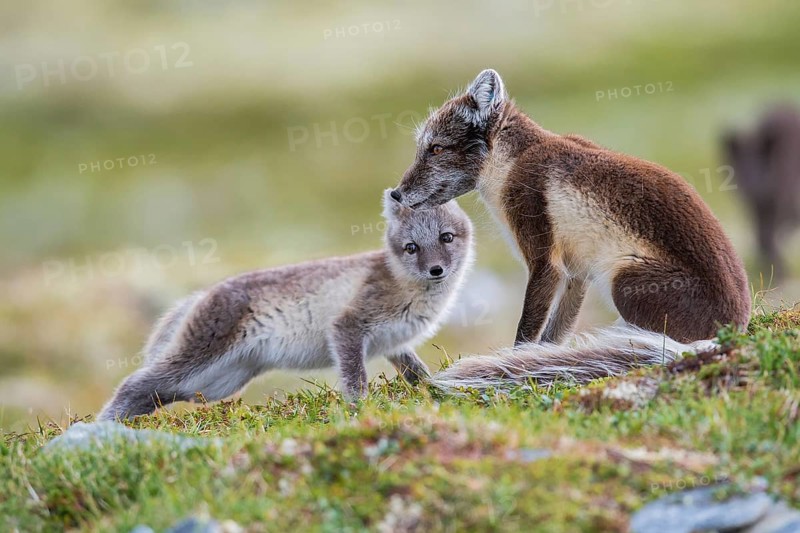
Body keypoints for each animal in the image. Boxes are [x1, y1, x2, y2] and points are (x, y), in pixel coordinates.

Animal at [97, 190, 474, 421]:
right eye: (411, 247)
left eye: (446, 237)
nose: (436, 270)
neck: (405, 285)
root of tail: (201, 294)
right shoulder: (347, 327)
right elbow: (355, 379)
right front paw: (362, 411)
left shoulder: (395, 344)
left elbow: (418, 375)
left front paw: (441, 390)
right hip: (198, 360)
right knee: (134, 383)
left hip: (214, 384)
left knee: (154, 394)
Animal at [391, 69, 751, 390]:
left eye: (436, 148)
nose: (395, 193)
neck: (512, 162)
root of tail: (730, 331)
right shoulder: (575, 273)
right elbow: (553, 336)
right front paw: (537, 362)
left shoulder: (544, 262)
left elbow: (527, 330)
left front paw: (514, 362)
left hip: (625, 280)